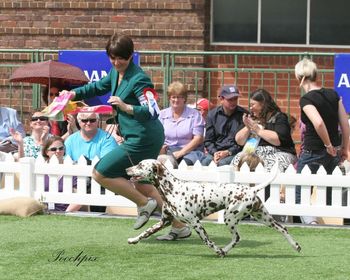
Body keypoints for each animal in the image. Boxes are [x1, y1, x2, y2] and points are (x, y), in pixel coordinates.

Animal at [126, 159, 300, 258]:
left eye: (140, 165)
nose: (127, 169)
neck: (172, 189)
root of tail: (251, 189)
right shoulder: (164, 221)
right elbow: (145, 232)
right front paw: (133, 239)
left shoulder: (195, 222)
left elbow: (207, 241)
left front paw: (217, 250)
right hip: (263, 217)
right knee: (283, 229)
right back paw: (295, 246)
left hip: (231, 218)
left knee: (237, 238)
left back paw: (224, 251)